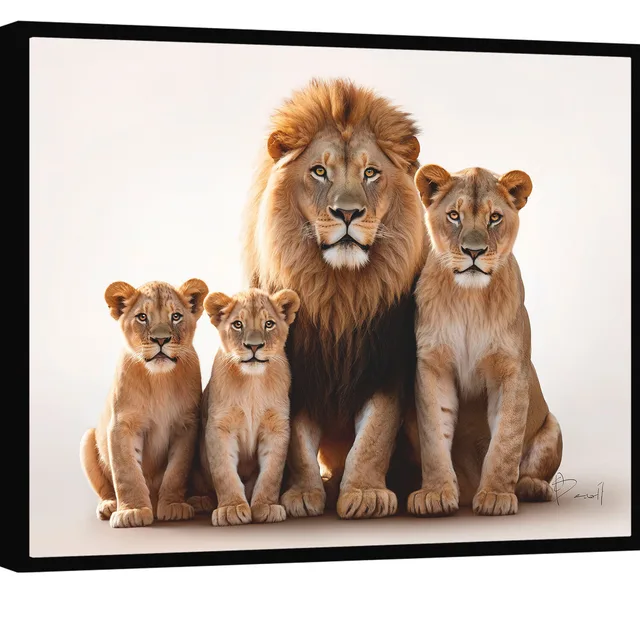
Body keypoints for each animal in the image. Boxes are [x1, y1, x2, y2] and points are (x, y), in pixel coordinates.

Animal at [79, 278, 209, 528]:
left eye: (176, 316)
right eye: (142, 317)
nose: (161, 340)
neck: (159, 380)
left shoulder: (186, 425)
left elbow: (177, 471)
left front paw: (173, 506)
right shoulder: (122, 424)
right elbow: (127, 472)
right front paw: (132, 511)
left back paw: (199, 501)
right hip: (87, 438)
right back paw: (109, 506)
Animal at [194, 288, 300, 526]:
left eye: (269, 324)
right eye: (238, 324)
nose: (254, 346)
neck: (253, 383)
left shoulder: (277, 427)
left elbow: (271, 473)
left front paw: (266, 506)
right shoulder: (219, 427)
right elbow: (224, 471)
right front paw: (231, 508)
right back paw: (201, 500)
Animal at [242, 78, 427, 519]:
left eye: (371, 172)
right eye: (320, 171)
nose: (348, 213)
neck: (338, 295)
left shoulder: (388, 365)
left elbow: (374, 435)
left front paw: (364, 494)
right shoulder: (295, 367)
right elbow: (296, 441)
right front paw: (302, 495)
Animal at [407, 165, 562, 516]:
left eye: (494, 217)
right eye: (454, 215)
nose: (474, 252)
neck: (470, 299)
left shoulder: (511, 370)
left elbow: (506, 439)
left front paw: (495, 495)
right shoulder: (433, 366)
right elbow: (433, 435)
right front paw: (435, 493)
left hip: (553, 427)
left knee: (532, 470)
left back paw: (532, 488)